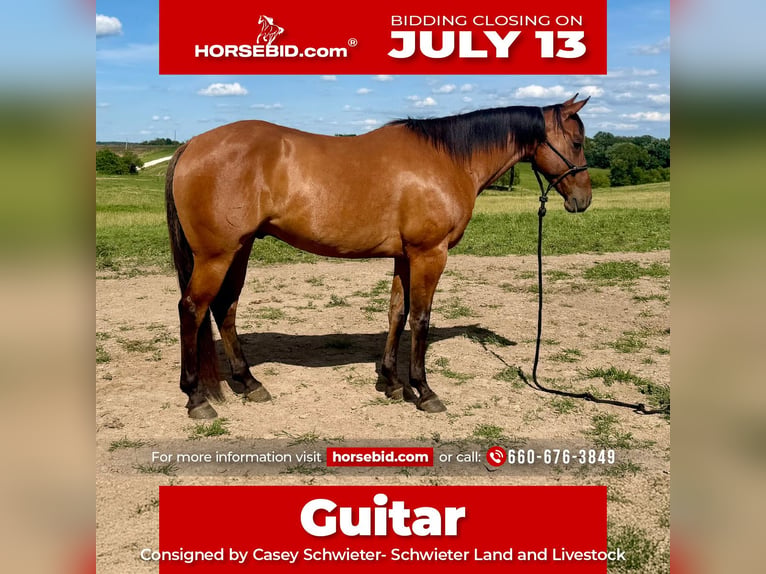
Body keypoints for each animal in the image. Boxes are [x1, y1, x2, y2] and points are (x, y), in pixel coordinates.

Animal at [165, 95, 592, 419]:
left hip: (240, 249)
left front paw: (392, 382)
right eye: (576, 142)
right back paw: (196, 398)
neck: (447, 159)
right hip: (217, 255)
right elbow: (420, 319)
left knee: (225, 308)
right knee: (192, 308)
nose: (583, 200)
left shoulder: (405, 257)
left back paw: (249, 382)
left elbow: (396, 313)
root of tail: (192, 144)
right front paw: (423, 390)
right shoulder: (429, 254)